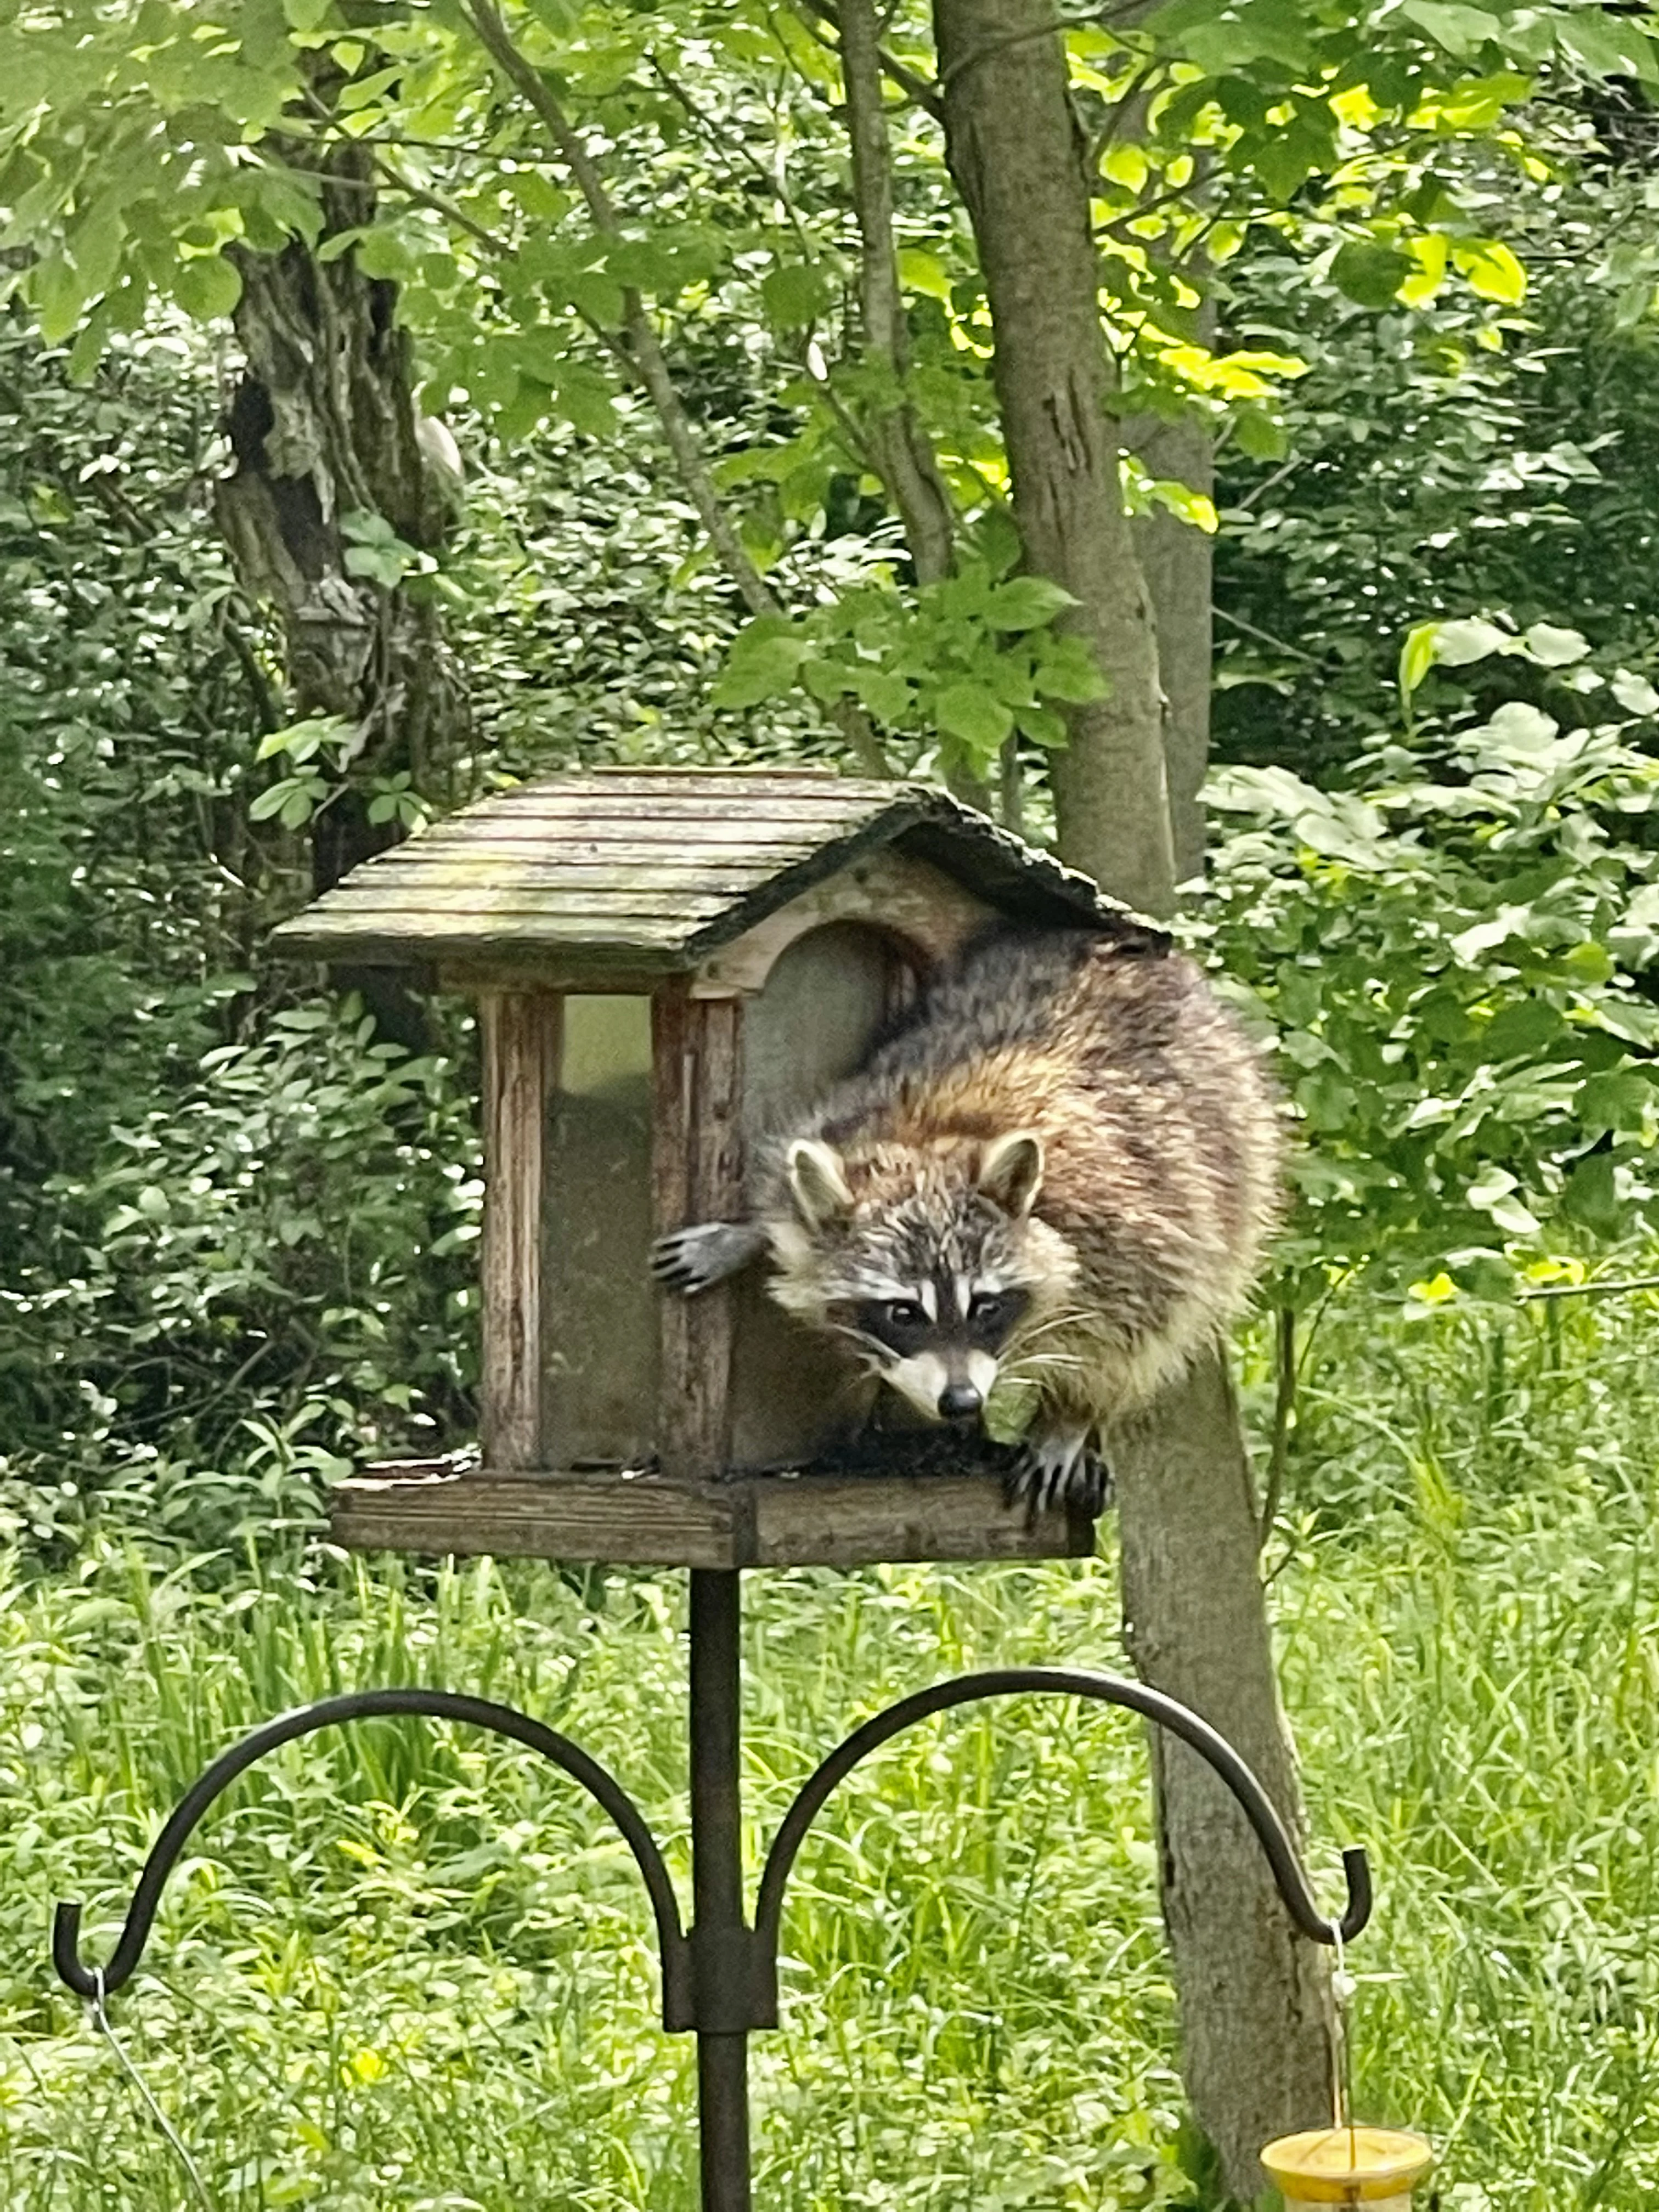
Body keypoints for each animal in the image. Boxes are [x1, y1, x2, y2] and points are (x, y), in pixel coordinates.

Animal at [651, 927, 1282, 1515]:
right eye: (903, 1313)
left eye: (987, 1306)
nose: (962, 1403)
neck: (934, 1149)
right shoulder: (847, 1119)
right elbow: (788, 1195)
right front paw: (750, 1232)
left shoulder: (1137, 1232)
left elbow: (1136, 1338)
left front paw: (1070, 1419)